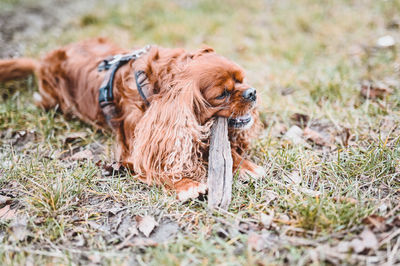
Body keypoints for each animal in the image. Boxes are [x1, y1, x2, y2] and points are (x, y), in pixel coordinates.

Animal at [0, 37, 266, 200]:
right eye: (222, 94)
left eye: (242, 79)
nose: (252, 92)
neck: (154, 89)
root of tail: (42, 61)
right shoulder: (136, 149)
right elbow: (157, 166)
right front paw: (186, 184)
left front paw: (245, 165)